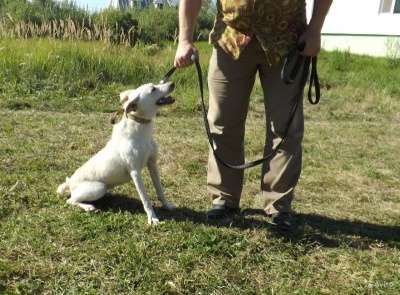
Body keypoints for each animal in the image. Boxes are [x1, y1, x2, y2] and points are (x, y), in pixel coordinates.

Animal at [57, 81, 176, 224]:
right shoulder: (135, 172)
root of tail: (70, 183)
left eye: (160, 83)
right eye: (153, 89)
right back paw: (88, 207)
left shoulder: (152, 164)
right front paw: (152, 217)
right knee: (71, 200)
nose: (172, 83)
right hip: (98, 188)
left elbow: (160, 190)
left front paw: (167, 205)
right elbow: (145, 199)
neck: (141, 131)